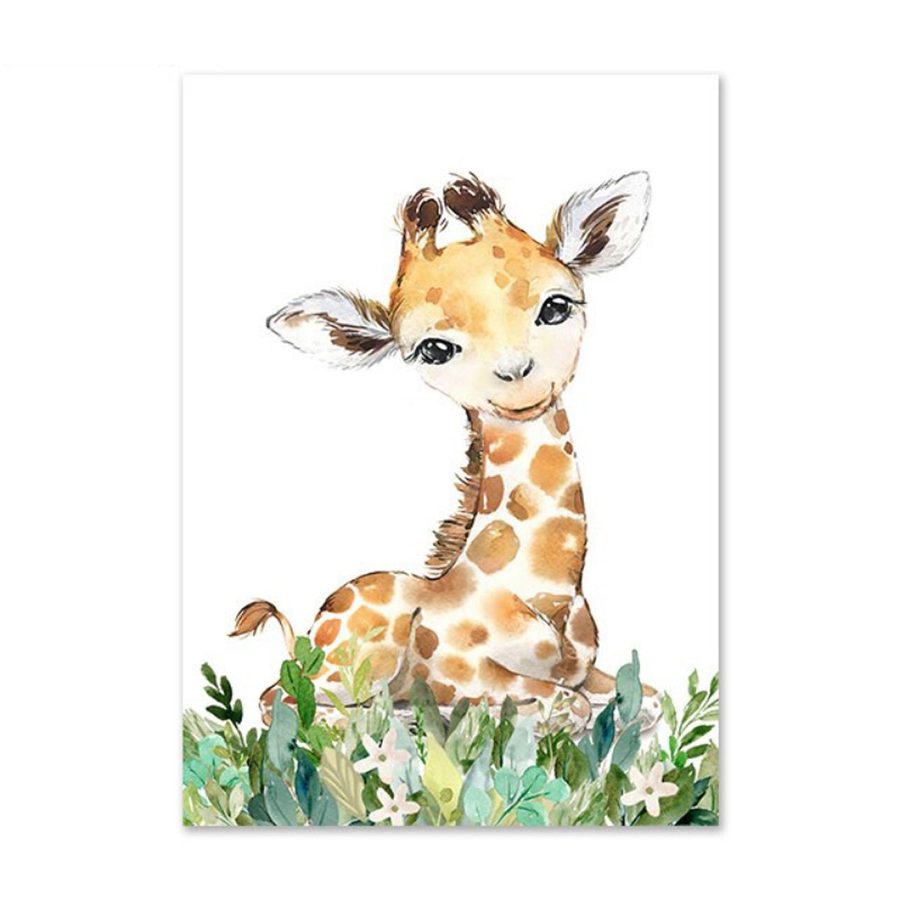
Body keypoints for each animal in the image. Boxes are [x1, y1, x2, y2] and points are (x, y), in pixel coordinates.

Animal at [231, 172, 659, 733]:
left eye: (556, 306)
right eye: (433, 348)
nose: (518, 376)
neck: (548, 595)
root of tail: (307, 635)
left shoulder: (592, 670)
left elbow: (647, 699)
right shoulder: (469, 671)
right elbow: (567, 706)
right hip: (356, 663)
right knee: (283, 700)